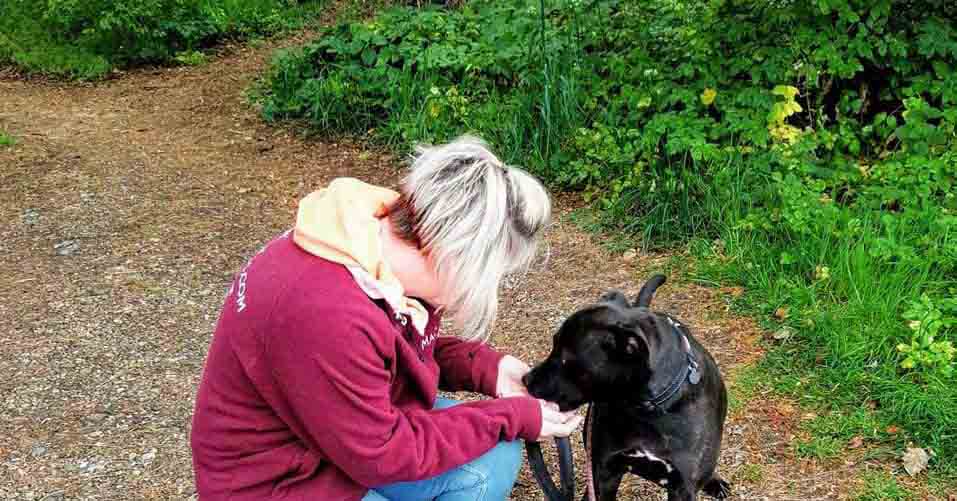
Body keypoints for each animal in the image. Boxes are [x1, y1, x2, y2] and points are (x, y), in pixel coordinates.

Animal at [524, 276, 732, 500]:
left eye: (565, 359)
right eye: (553, 344)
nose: (526, 379)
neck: (648, 409)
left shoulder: (683, 488)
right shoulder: (605, 472)